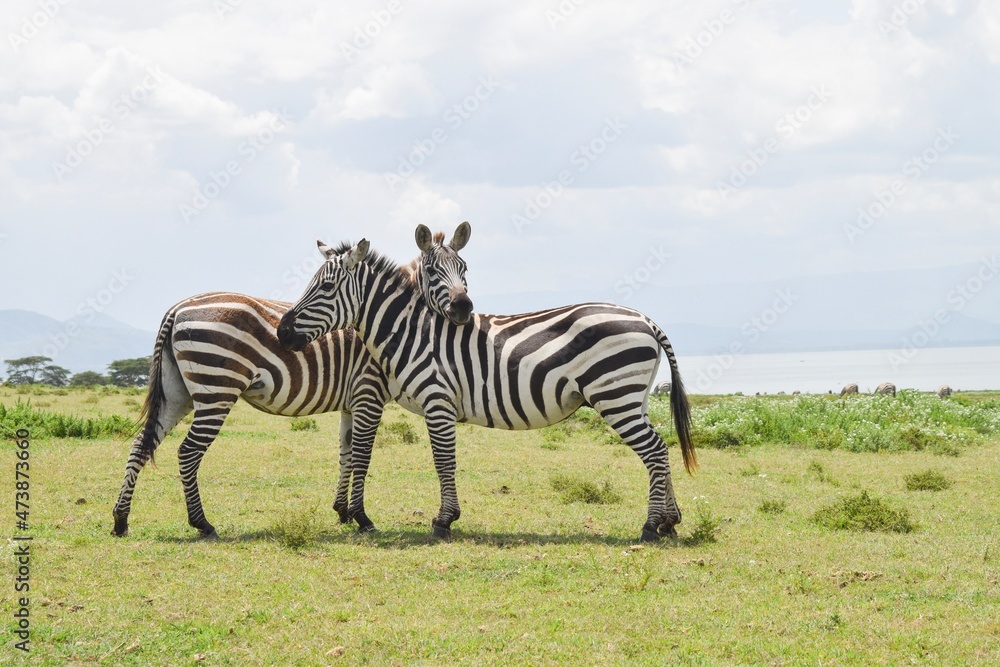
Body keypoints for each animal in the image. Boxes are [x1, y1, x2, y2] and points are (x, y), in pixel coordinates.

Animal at [112, 223, 472, 536]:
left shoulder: (351, 402)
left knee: (141, 444)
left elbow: (345, 453)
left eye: (464, 269)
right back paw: (202, 524)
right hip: (216, 390)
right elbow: (362, 455)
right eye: (431, 272)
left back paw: (121, 519)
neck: (393, 324)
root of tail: (177, 308)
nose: (463, 308)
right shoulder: (368, 393)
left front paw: (342, 511)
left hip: (178, 393)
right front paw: (362, 517)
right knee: (187, 452)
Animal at [276, 237, 696, 540]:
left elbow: (443, 461)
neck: (412, 332)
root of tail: (645, 319)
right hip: (634, 398)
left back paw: (650, 528)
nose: (282, 332)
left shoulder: (438, 399)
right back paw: (669, 522)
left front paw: (444, 521)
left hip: (616, 396)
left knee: (654, 451)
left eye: (326, 287)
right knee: (661, 448)